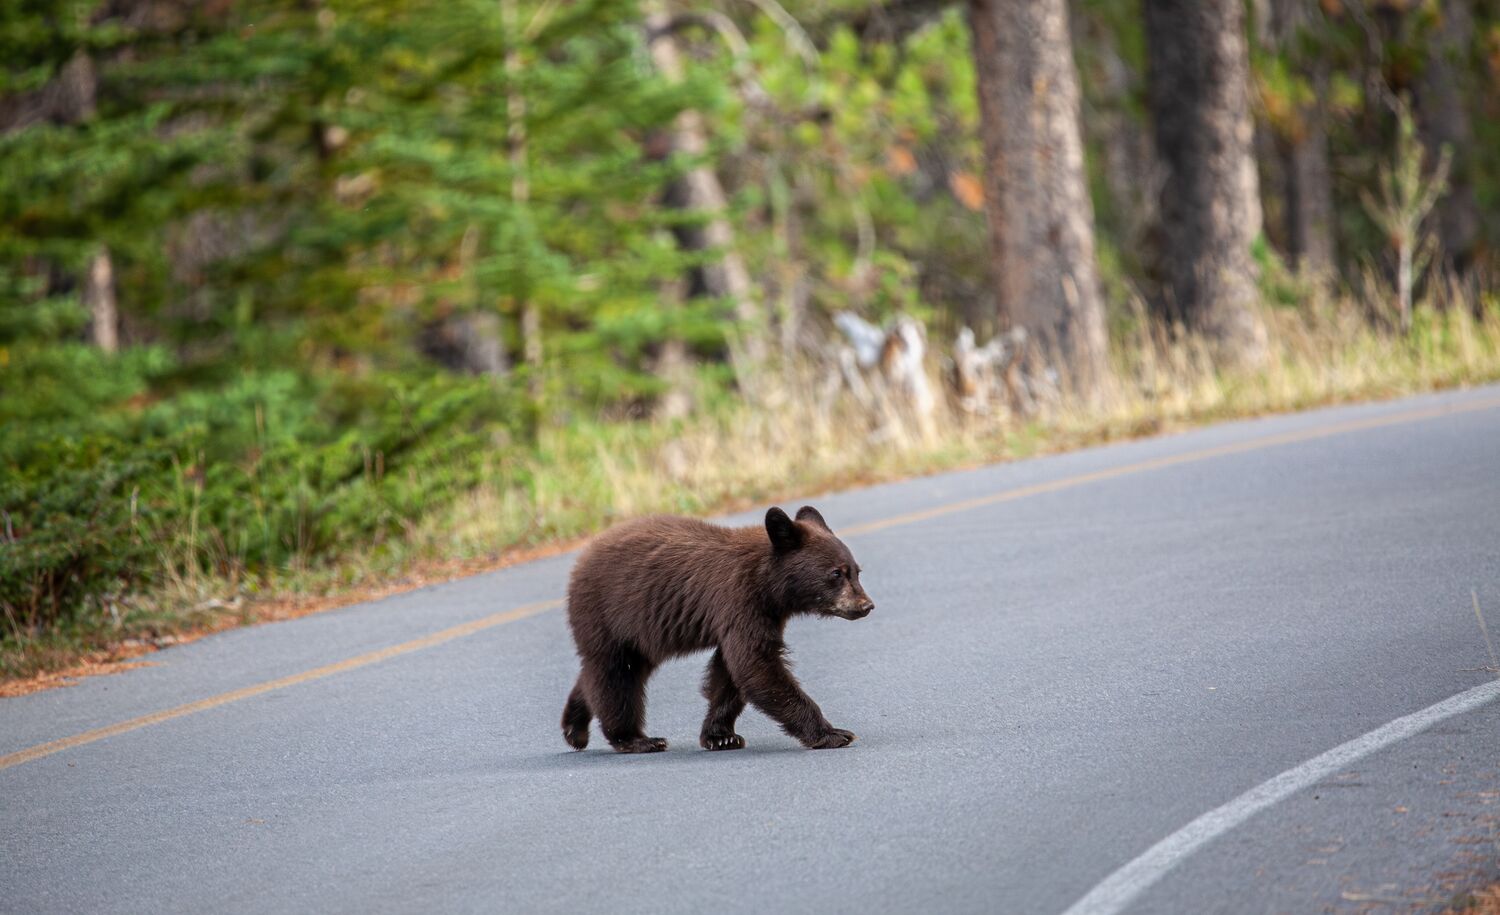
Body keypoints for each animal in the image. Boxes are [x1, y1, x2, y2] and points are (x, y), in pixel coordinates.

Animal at [560, 505, 875, 753]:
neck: (768, 583)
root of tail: (581, 559)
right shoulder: (740, 601)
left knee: (602, 673)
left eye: (857, 571)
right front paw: (833, 733)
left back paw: (574, 729)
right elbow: (756, 664)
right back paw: (635, 739)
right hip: (607, 615)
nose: (866, 605)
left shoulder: (761, 614)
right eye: (836, 573)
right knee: (615, 676)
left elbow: (730, 671)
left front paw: (720, 736)